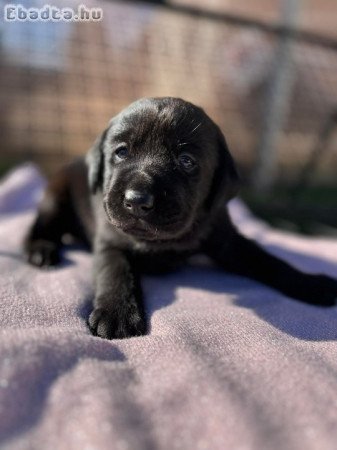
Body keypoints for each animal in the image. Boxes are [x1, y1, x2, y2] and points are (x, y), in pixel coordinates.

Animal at [25, 96, 336, 340]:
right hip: (55, 197)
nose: (137, 200)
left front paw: (311, 283)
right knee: (39, 226)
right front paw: (117, 313)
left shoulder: (227, 240)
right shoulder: (110, 240)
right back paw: (41, 250)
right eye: (121, 152)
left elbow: (268, 260)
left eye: (186, 161)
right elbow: (115, 270)